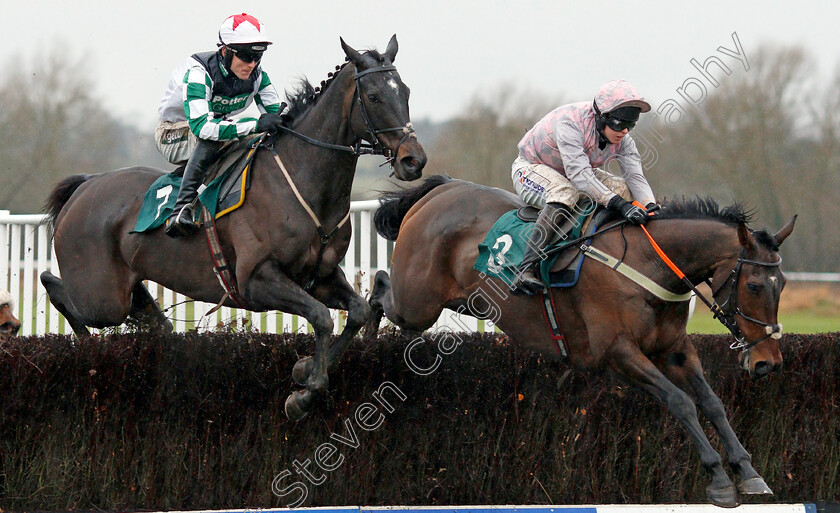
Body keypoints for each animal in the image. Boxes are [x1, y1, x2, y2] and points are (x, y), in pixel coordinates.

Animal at [39, 36, 426, 420]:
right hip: (101, 296)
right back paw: (87, 350)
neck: (304, 182)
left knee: (149, 315)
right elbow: (321, 317)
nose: (414, 160)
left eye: (406, 91)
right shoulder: (256, 280)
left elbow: (357, 311)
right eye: (373, 96)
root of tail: (85, 185)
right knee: (56, 287)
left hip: (124, 286)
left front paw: (305, 369)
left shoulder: (320, 276)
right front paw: (304, 393)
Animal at [366, 175, 796, 504]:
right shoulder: (617, 352)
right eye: (755, 285)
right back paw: (364, 335)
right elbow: (682, 402)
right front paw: (719, 480)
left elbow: (712, 403)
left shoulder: (673, 349)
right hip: (418, 300)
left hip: (456, 301)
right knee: (380, 288)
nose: (769, 362)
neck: (646, 265)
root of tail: (440, 189)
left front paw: (749, 471)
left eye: (783, 284)